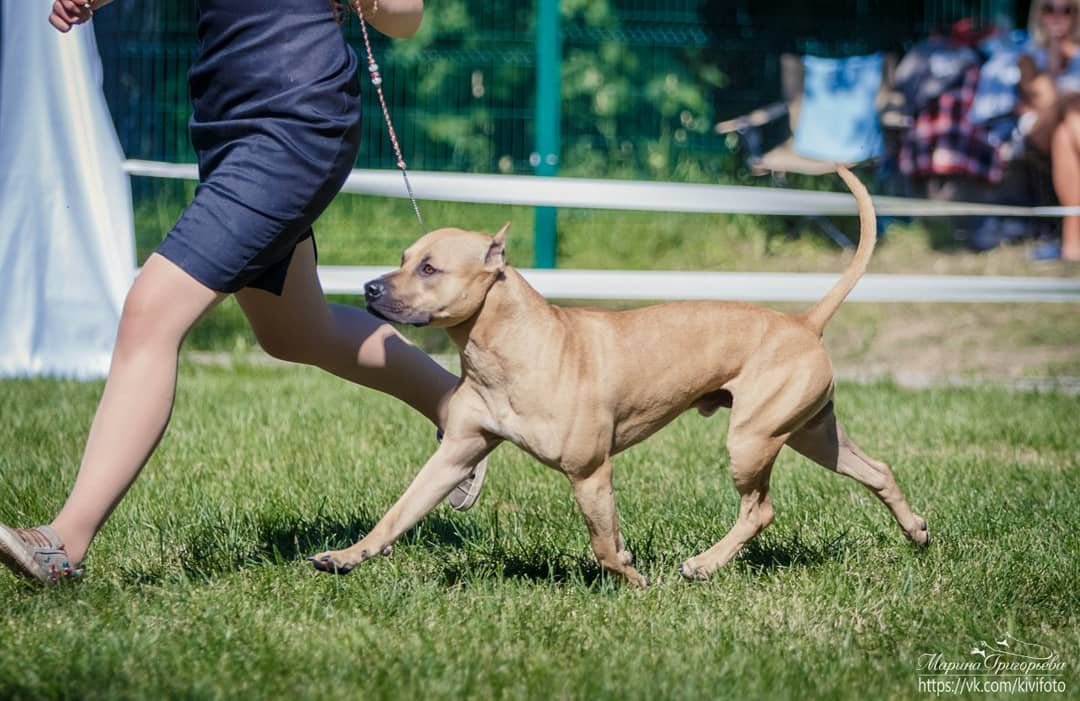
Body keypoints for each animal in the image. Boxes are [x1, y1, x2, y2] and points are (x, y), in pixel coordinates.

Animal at [311, 166, 928, 583]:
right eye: (403, 257)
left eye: (429, 268)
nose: (369, 288)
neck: (510, 346)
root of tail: (805, 322)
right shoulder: (455, 455)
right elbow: (397, 513)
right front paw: (345, 557)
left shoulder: (590, 473)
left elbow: (604, 545)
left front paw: (632, 577)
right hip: (809, 432)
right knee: (876, 470)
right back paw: (916, 530)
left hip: (753, 439)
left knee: (760, 510)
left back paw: (704, 565)